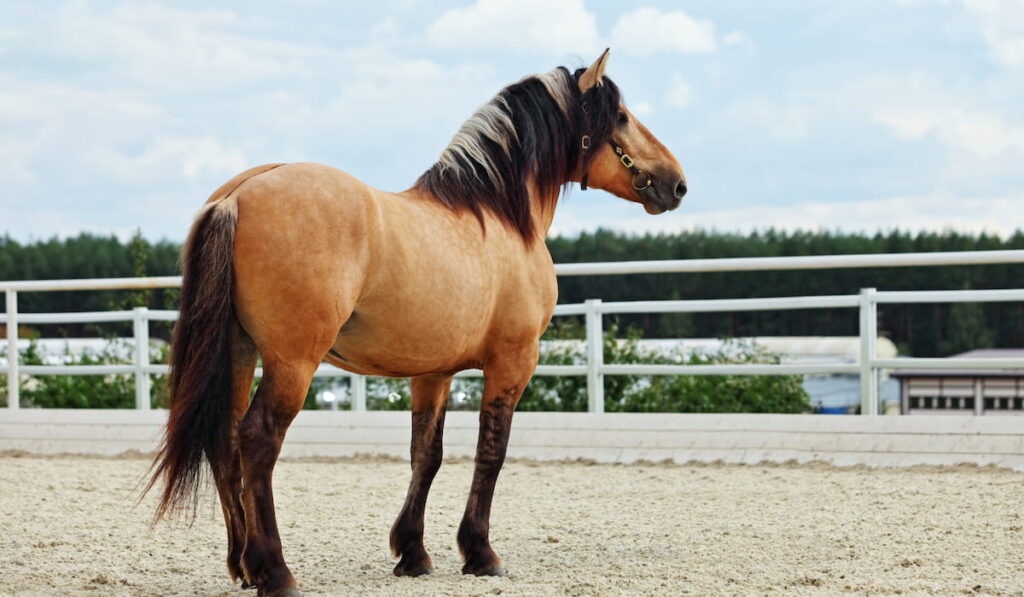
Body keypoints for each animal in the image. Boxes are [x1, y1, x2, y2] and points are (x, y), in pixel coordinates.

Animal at [144, 50, 684, 597]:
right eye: (620, 117)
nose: (677, 183)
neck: (501, 217)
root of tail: (237, 196)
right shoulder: (513, 363)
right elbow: (491, 452)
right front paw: (480, 552)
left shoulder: (433, 373)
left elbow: (427, 454)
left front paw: (413, 552)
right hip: (291, 363)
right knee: (258, 441)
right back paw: (274, 570)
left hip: (237, 353)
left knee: (224, 441)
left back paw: (242, 566)